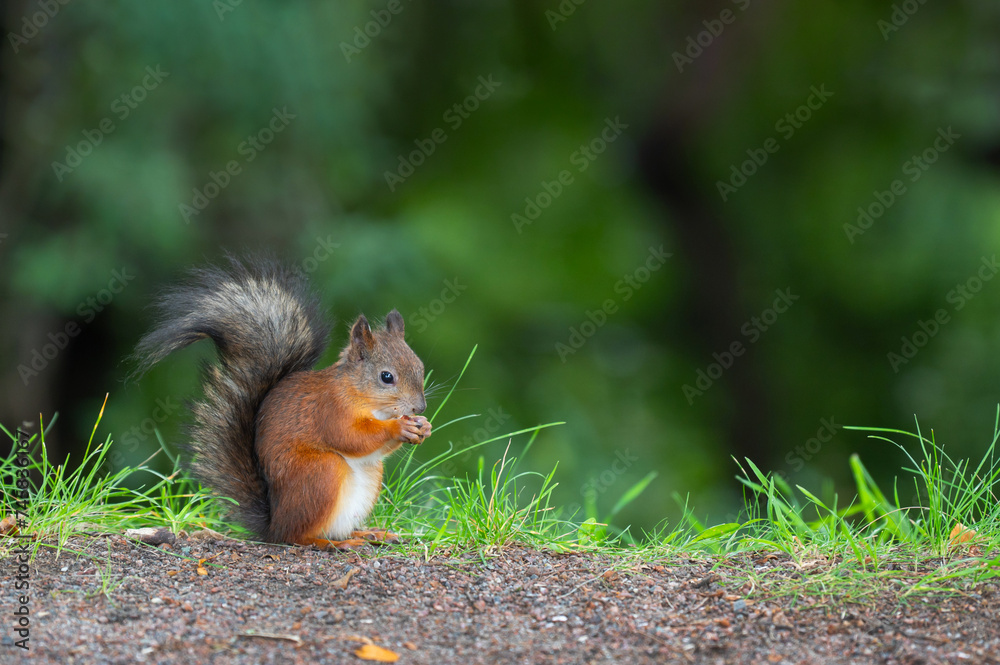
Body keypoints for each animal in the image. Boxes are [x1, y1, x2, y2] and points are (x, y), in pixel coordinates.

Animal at [133, 254, 432, 548]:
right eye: (386, 377)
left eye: (420, 366)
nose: (420, 407)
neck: (366, 400)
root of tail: (273, 525)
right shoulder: (329, 409)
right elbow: (349, 437)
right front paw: (399, 427)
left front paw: (423, 426)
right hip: (320, 472)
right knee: (297, 536)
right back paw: (333, 543)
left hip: (368, 479)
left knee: (335, 529)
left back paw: (368, 534)